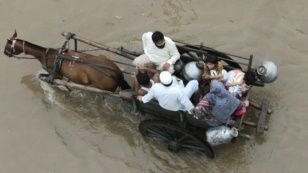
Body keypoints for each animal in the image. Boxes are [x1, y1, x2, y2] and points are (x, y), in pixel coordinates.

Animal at [3, 31, 131, 92]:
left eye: (7, 45)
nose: (4, 52)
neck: (47, 55)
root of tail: (117, 74)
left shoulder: (56, 76)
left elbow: (50, 80)